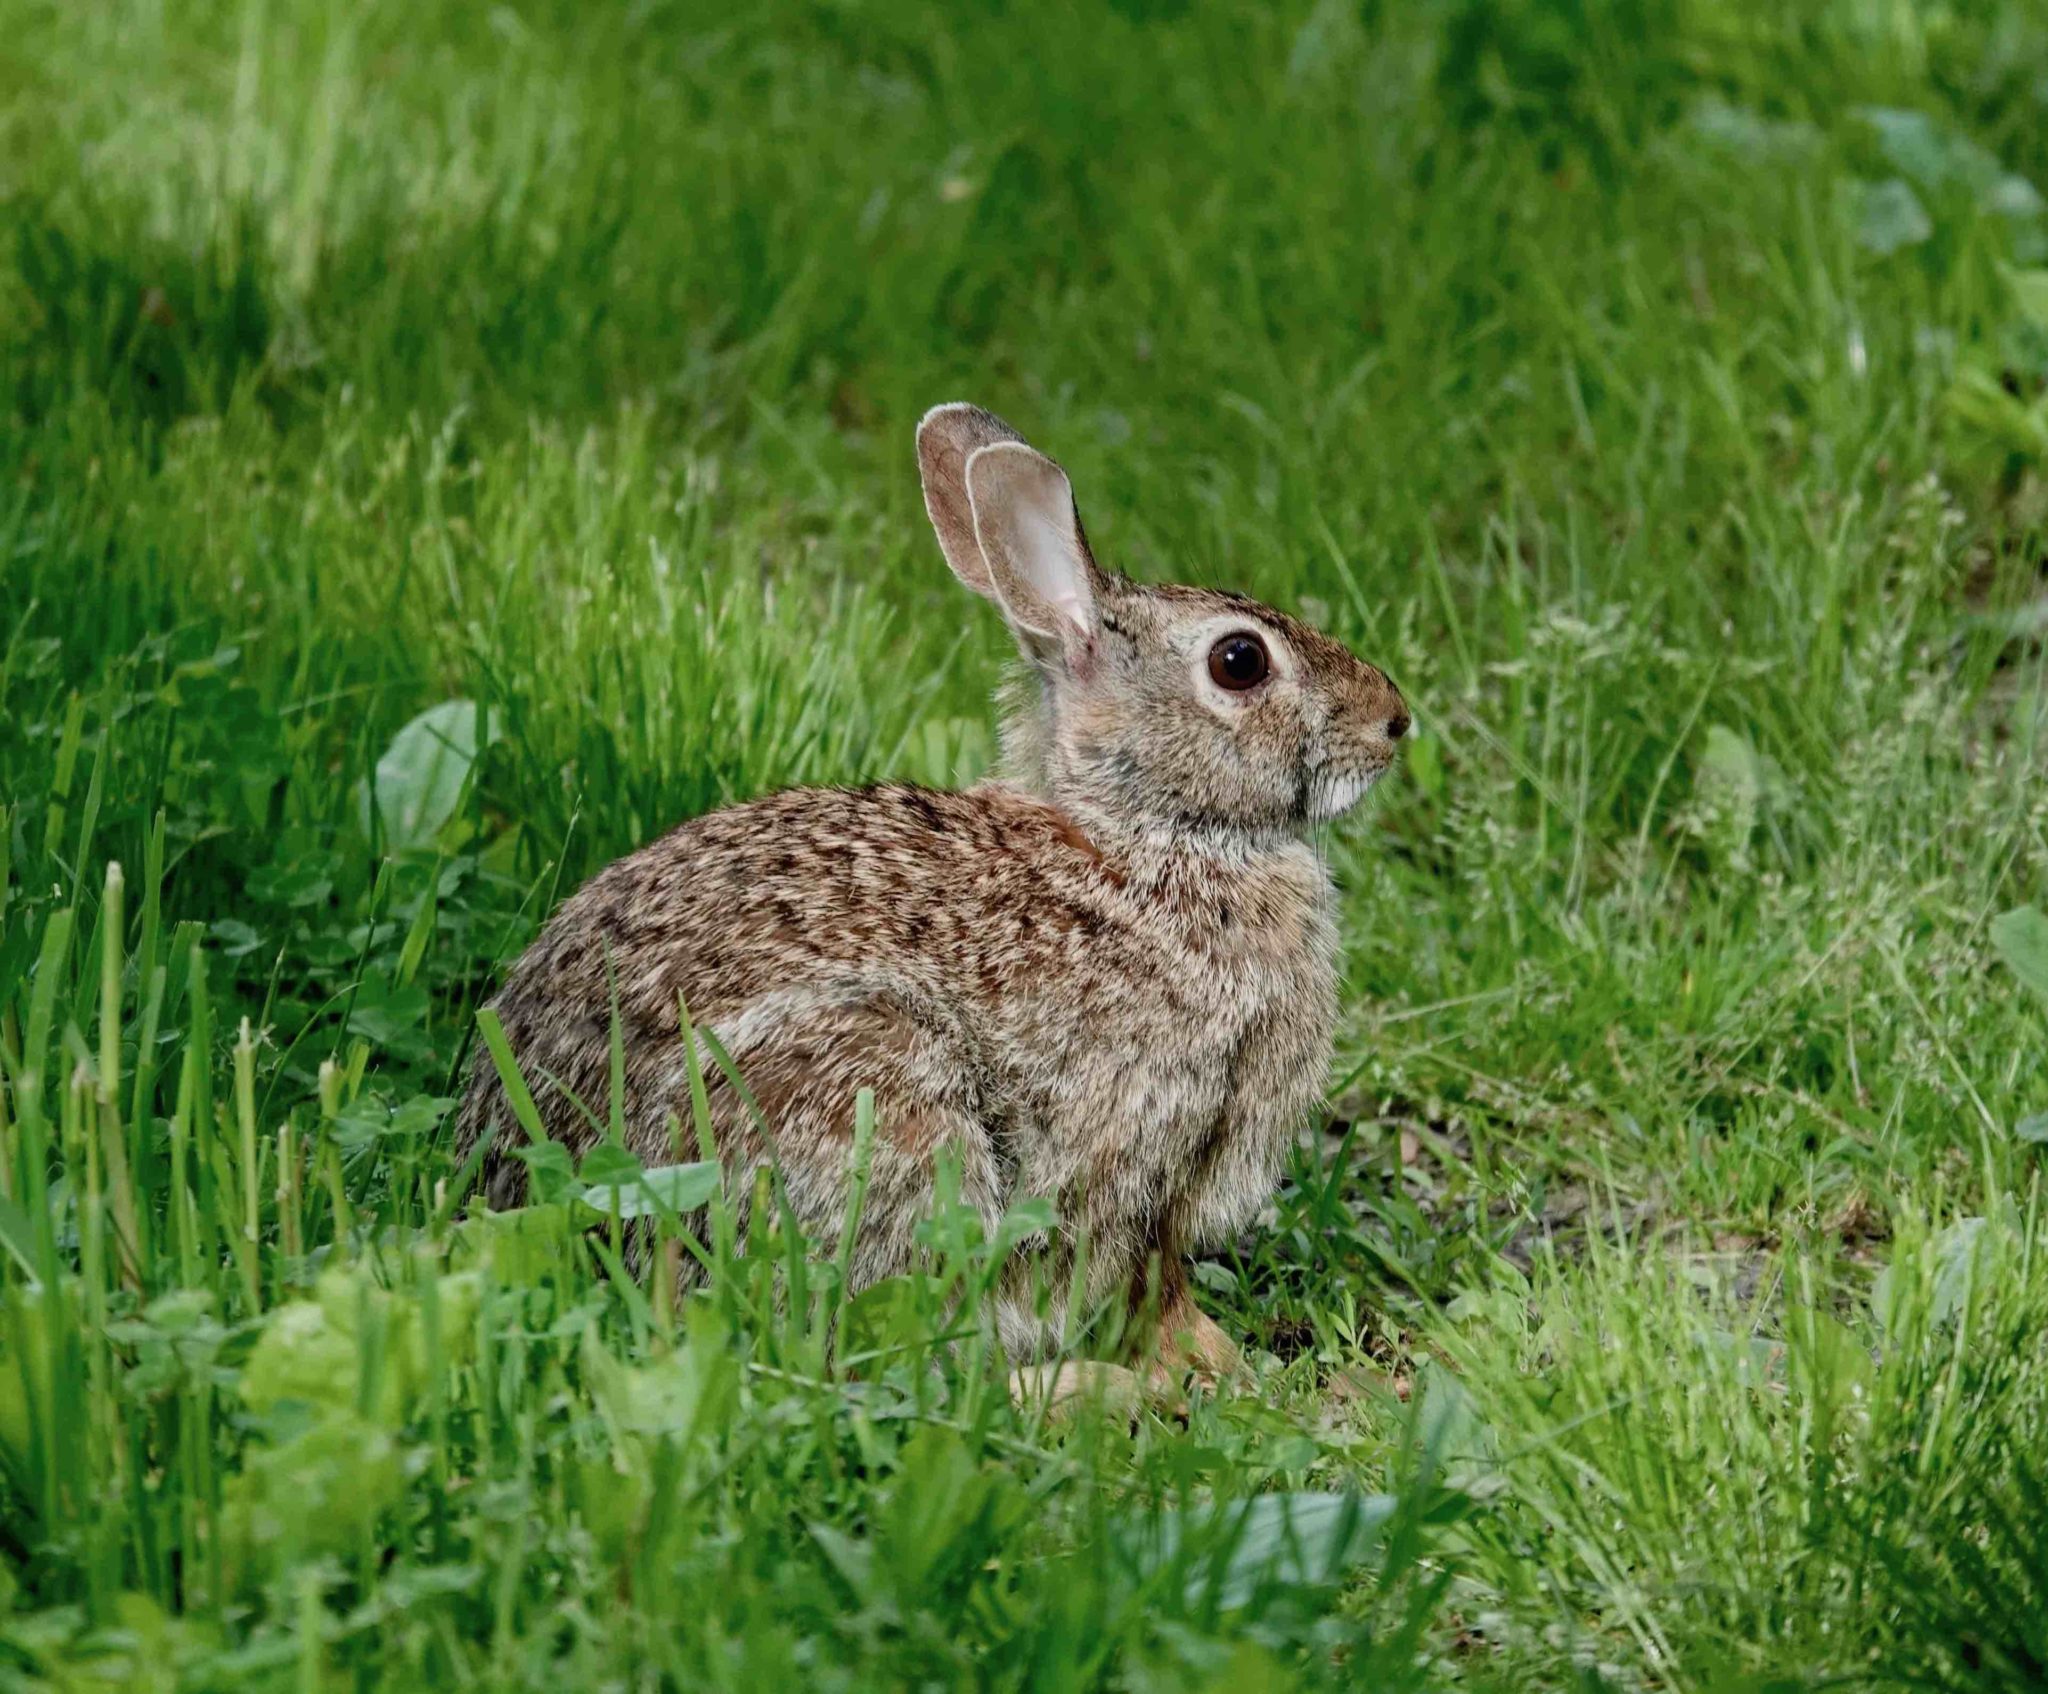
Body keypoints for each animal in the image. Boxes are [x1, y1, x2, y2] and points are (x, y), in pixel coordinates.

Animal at [452, 407, 1409, 1376]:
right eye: (1240, 662)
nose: (1394, 721)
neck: (1147, 842)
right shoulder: (1139, 1155)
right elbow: (1149, 1285)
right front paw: (1215, 1368)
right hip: (877, 1103)